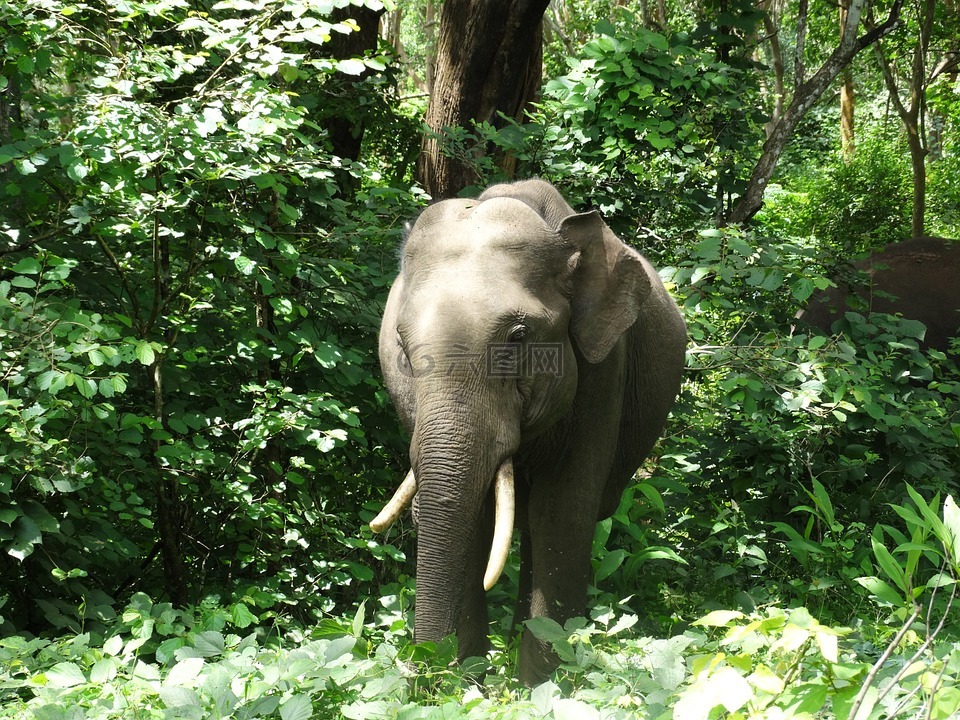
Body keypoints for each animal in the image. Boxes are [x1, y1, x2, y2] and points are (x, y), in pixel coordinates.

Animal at [364, 177, 688, 684]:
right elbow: (473, 516)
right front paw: (468, 681)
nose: (424, 672)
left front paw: (540, 686)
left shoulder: (603, 372)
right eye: (400, 342)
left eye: (518, 337)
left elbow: (564, 513)